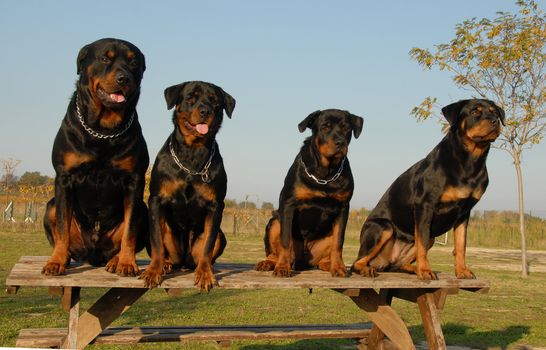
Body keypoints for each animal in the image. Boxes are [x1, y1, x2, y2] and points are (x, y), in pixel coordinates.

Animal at [42, 38, 149, 278]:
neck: (103, 130)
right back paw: (64, 257)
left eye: (134, 62)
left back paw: (116, 260)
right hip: (50, 206)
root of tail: (94, 255)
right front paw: (56, 262)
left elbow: (130, 230)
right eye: (104, 58)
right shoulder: (64, 178)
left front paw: (127, 263)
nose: (124, 78)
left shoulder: (134, 181)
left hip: (144, 209)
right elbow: (62, 226)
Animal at [139, 80, 233, 292]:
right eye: (190, 97)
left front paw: (205, 274)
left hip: (221, 236)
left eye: (215, 101)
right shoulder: (156, 200)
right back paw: (166, 264)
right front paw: (153, 271)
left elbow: (208, 245)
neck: (192, 155)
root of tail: (184, 261)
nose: (205, 111)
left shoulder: (216, 205)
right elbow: (157, 243)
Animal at [254, 110, 362, 278]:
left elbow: (339, 242)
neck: (325, 173)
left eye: (347, 128)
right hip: (274, 222)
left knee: (325, 256)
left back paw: (330, 264)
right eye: (325, 127)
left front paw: (338, 267)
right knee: (275, 251)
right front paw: (282, 267)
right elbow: (285, 240)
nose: (340, 143)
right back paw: (269, 263)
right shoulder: (289, 204)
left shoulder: (343, 207)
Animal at [352, 100, 502, 280]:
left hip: (430, 238)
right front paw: (424, 271)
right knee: (357, 262)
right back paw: (367, 269)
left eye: (495, 112)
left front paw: (462, 271)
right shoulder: (425, 205)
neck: (470, 161)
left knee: (398, 264)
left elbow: (461, 245)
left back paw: (412, 269)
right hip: (383, 227)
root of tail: (382, 262)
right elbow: (422, 244)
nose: (495, 121)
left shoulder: (464, 212)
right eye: (475, 112)